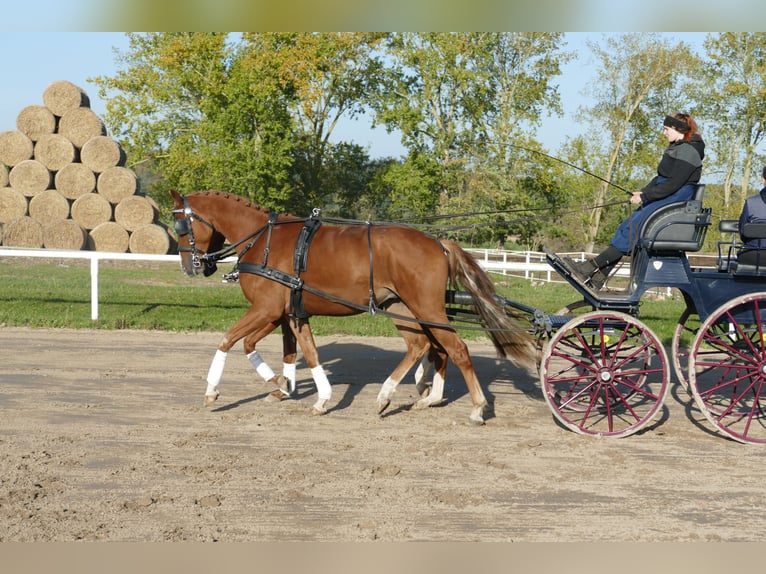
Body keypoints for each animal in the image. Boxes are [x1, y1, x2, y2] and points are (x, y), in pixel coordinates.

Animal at [171, 191, 536, 426]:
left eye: (181, 227)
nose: (190, 267)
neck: (265, 241)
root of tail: (437, 242)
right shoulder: (289, 313)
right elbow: (297, 350)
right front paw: (294, 388)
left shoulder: (266, 310)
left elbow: (229, 340)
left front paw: (213, 391)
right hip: (403, 307)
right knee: (422, 345)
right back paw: (393, 395)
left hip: (426, 308)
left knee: (455, 348)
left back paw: (475, 407)